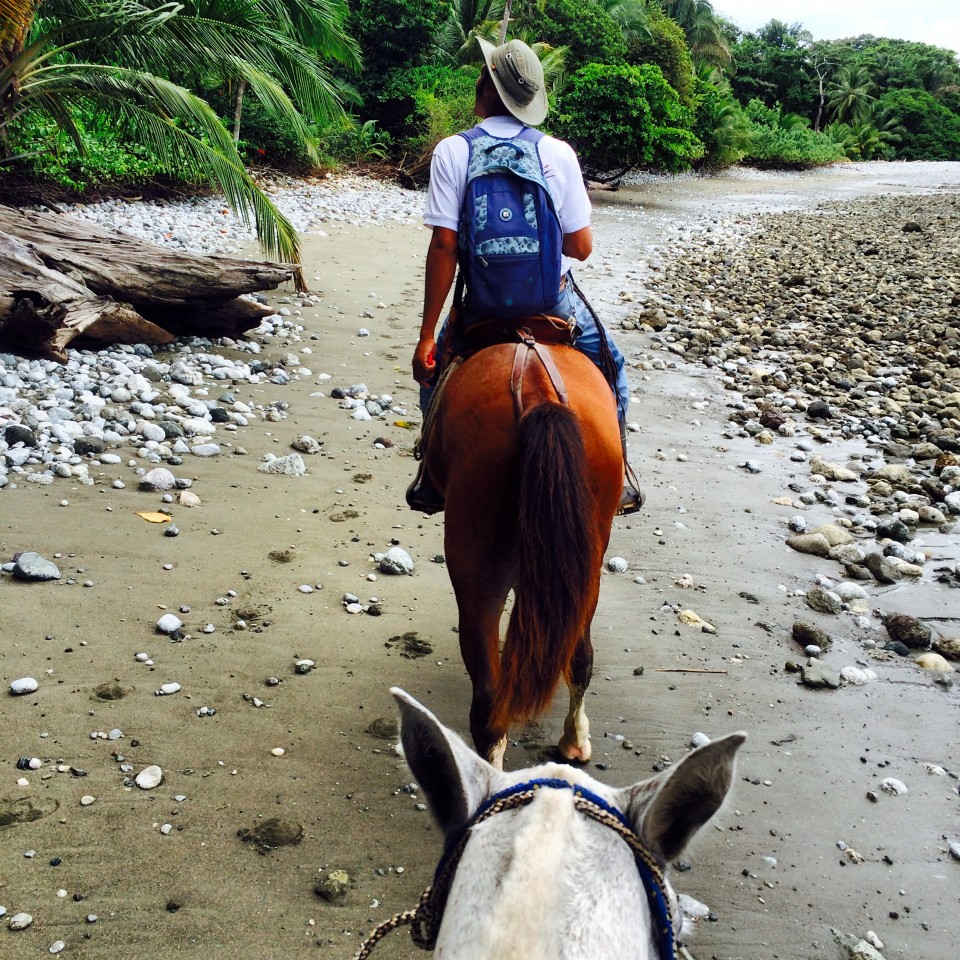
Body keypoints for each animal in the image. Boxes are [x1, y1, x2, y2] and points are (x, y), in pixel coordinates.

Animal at [422, 342, 620, 768]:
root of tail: (536, 393)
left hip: (475, 566)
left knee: (488, 699)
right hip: (585, 565)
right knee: (579, 657)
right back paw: (574, 742)